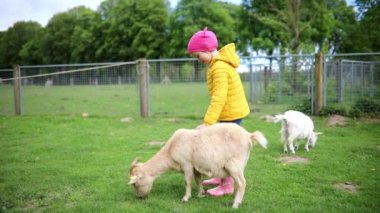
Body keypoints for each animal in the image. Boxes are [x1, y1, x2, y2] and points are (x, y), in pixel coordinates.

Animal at [127, 122, 268, 209]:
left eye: (136, 184)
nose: (140, 198)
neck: (170, 150)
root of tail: (249, 135)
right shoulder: (195, 167)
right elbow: (198, 180)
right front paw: (201, 194)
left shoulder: (187, 164)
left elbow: (188, 182)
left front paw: (185, 198)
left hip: (234, 164)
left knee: (242, 183)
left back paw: (235, 204)